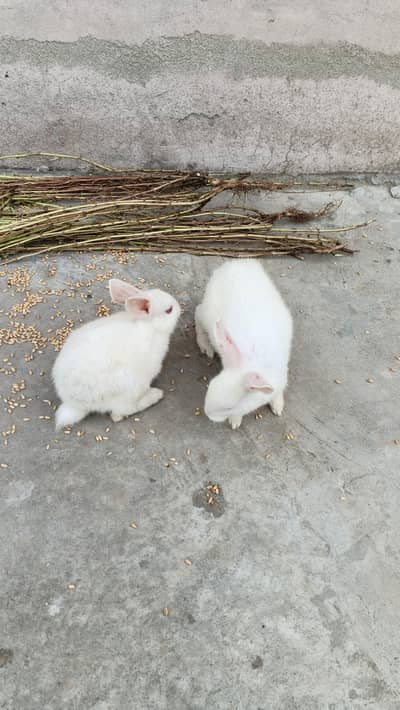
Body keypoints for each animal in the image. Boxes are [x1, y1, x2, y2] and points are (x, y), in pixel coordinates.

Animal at [52, 278, 181, 430]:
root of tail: (74, 404)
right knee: (120, 413)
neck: (150, 325)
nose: (179, 307)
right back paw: (155, 395)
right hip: (131, 387)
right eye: (169, 310)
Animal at [195, 259, 292, 429]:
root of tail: (234, 264)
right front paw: (235, 422)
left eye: (229, 407)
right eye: (211, 386)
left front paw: (278, 408)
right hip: (207, 315)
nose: (207, 413)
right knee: (197, 312)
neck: (252, 365)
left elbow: (278, 394)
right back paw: (205, 346)